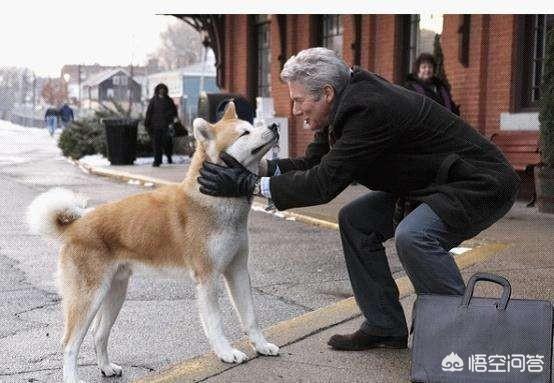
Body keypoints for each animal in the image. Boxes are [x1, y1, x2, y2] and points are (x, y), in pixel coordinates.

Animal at [26, 102, 278, 383]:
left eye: (251, 125)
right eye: (244, 132)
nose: (274, 125)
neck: (214, 199)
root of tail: (76, 225)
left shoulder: (237, 271)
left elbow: (251, 316)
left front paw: (261, 345)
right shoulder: (208, 278)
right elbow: (215, 323)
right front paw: (226, 352)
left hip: (115, 293)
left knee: (98, 334)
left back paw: (106, 367)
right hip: (88, 298)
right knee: (69, 343)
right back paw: (73, 377)